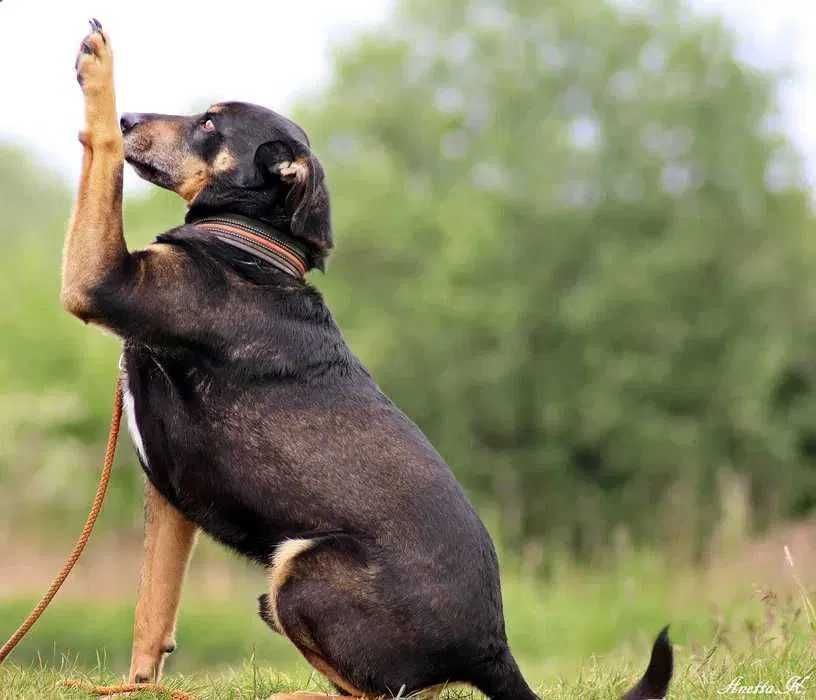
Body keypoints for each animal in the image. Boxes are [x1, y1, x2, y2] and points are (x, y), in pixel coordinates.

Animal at [63, 19, 672, 696]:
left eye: (211, 123)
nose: (133, 118)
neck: (251, 244)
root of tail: (493, 648)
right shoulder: (170, 498)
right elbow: (152, 608)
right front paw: (136, 683)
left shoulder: (98, 281)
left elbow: (99, 151)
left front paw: (100, 73)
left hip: (300, 567)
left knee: (381, 691)